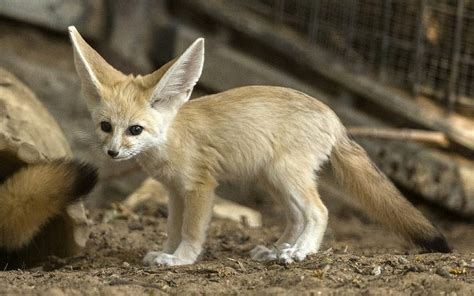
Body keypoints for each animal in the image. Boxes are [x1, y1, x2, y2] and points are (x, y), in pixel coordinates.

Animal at [68, 26, 450, 266]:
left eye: (135, 130)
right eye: (106, 127)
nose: (113, 153)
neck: (172, 138)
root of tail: (333, 116)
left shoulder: (200, 187)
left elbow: (191, 231)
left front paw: (181, 259)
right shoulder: (175, 192)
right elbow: (173, 229)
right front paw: (167, 253)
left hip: (285, 177)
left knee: (319, 212)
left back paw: (299, 253)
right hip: (273, 181)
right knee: (297, 217)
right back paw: (278, 250)